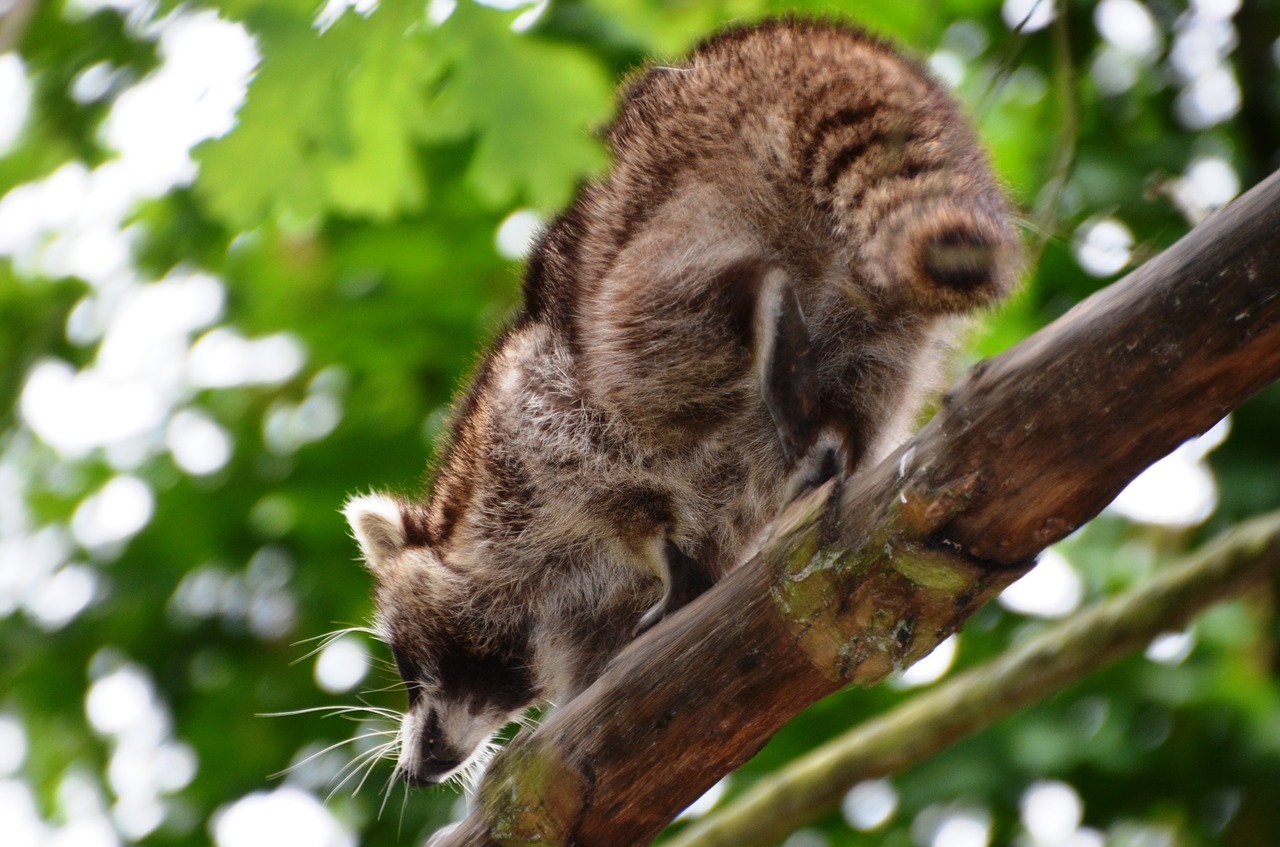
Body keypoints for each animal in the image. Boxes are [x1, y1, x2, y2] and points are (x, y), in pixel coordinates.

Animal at [343, 18, 1018, 788]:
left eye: (407, 662)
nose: (416, 766)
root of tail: (799, 46)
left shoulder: (525, 425)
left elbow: (601, 471)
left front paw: (660, 552)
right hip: (880, 306)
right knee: (866, 380)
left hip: (668, 201)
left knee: (641, 338)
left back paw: (756, 304)